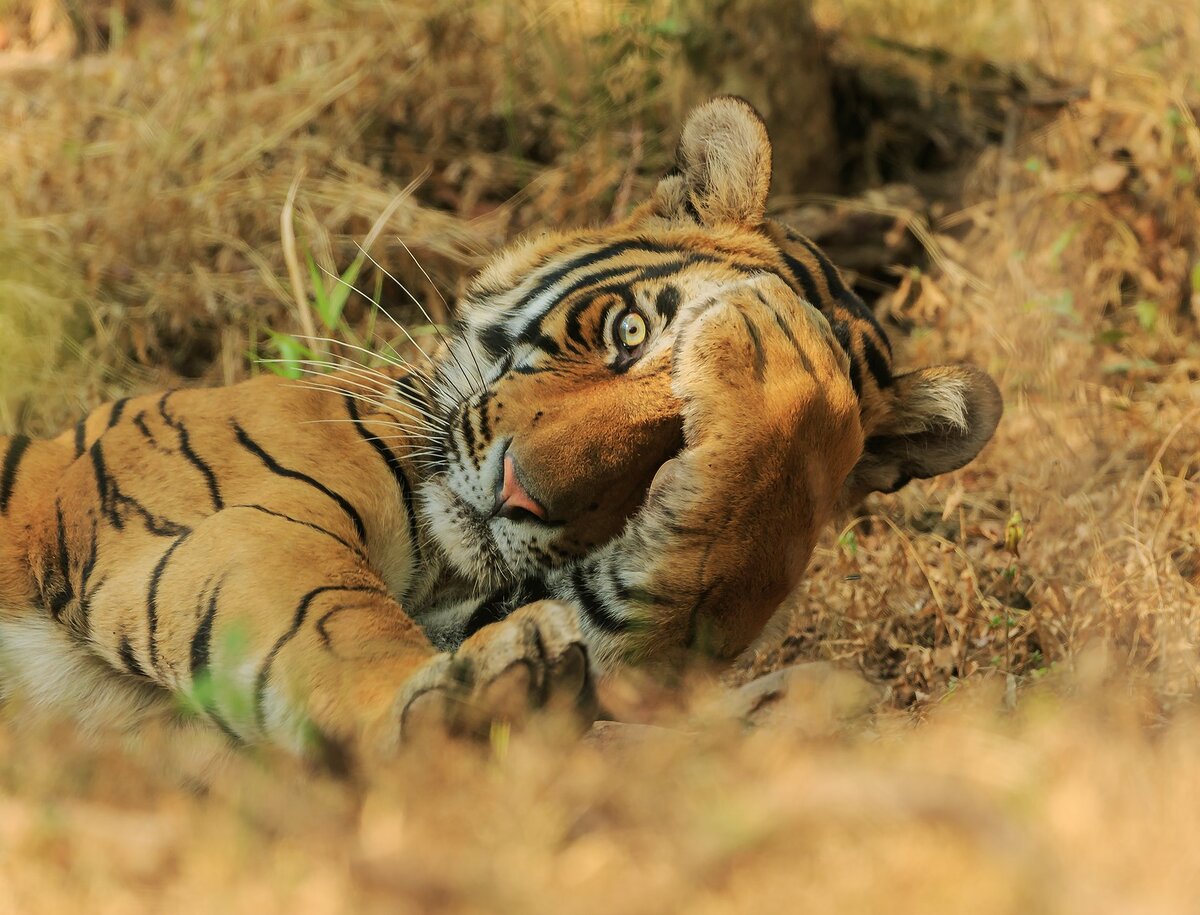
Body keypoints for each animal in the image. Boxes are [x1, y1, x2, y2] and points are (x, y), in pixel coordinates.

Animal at [0, 97, 998, 763]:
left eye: (679, 449)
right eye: (628, 331)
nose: (521, 493)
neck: (448, 565)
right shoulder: (234, 519)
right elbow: (329, 618)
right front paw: (460, 698)